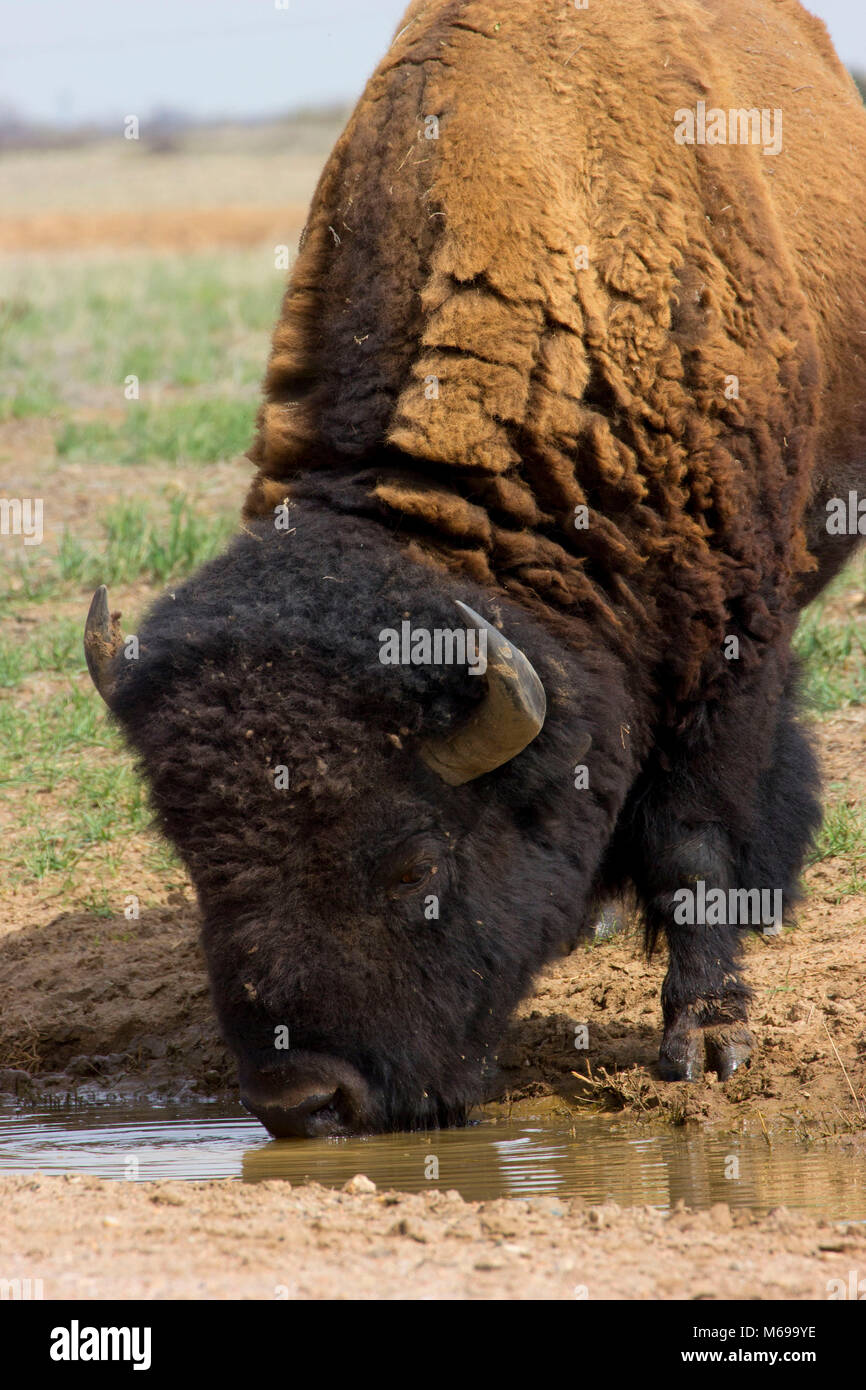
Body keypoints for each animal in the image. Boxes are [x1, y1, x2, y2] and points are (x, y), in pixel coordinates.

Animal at [83, 0, 866, 1139]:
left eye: (415, 861)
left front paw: (707, 1041)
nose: (303, 1100)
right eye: (195, 858)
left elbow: (693, 840)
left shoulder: (724, 644)